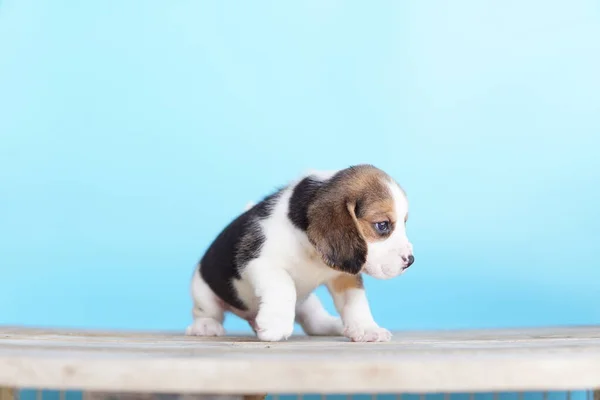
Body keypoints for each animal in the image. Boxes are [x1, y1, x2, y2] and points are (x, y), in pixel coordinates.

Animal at [188, 164, 412, 342]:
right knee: (207, 312)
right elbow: (284, 285)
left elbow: (356, 301)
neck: (311, 251)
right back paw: (205, 326)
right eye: (382, 225)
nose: (410, 260)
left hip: (307, 302)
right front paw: (276, 324)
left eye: (404, 223)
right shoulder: (259, 262)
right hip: (203, 291)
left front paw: (366, 329)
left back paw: (329, 324)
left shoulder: (344, 274)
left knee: (310, 318)